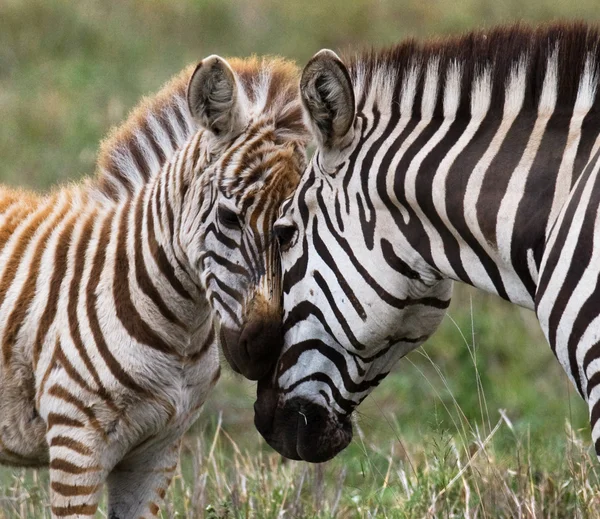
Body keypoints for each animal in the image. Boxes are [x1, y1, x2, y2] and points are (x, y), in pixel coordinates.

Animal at [0, 54, 308, 516]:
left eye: (293, 230)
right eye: (229, 217)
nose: (264, 348)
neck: (179, 333)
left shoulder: (158, 451)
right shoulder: (76, 446)